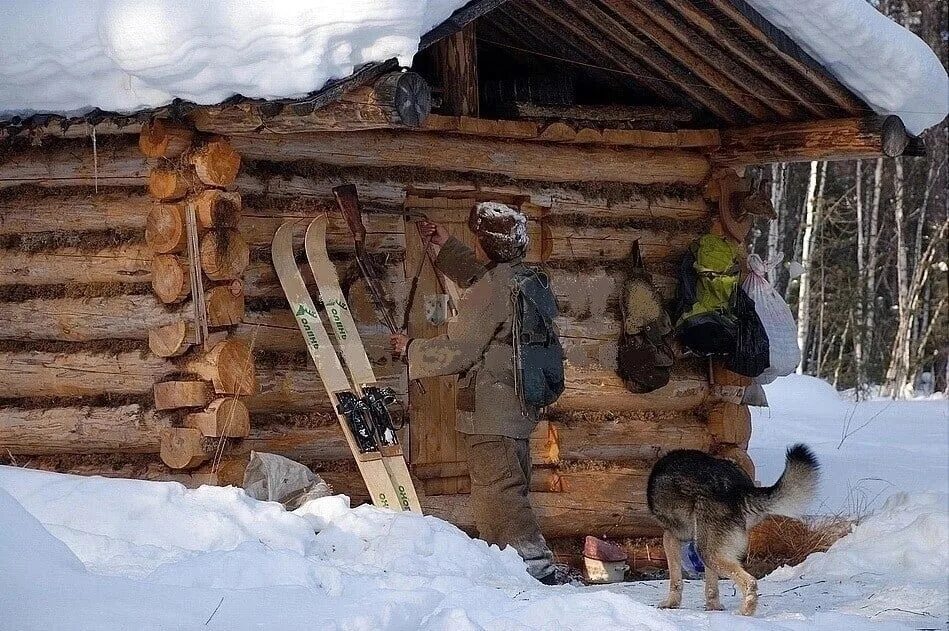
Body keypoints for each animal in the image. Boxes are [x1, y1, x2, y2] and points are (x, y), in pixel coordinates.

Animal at [648, 444, 820, 616]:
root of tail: (737, 488)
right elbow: (711, 587)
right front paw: (713, 607)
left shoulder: (670, 537)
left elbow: (676, 580)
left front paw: (671, 604)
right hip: (711, 550)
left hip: (707, 552)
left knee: (750, 582)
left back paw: (745, 612)